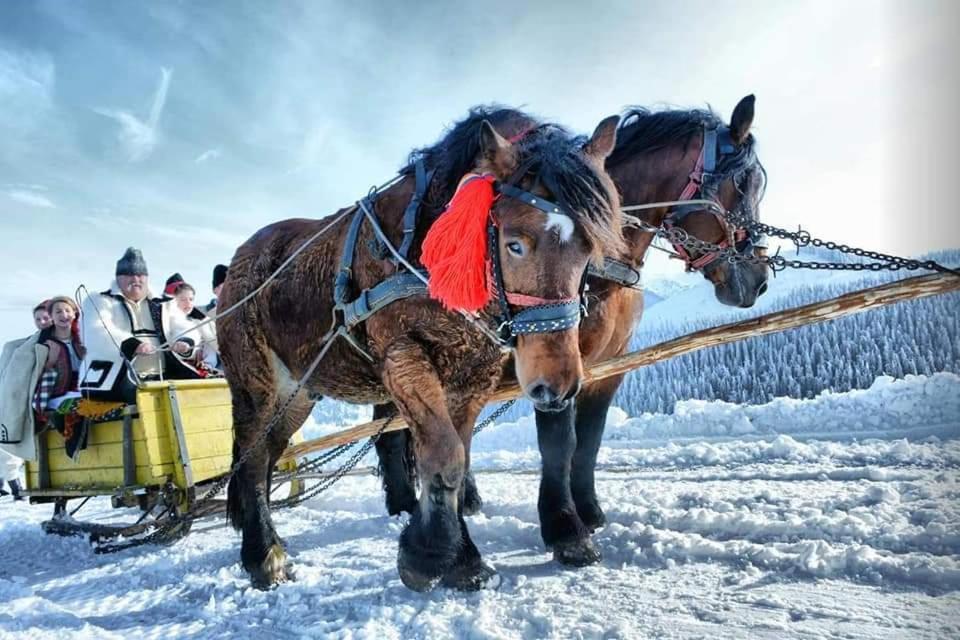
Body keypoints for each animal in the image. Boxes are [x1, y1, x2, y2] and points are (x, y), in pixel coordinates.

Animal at [217, 106, 624, 592]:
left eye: (589, 249)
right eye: (515, 243)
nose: (558, 385)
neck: (430, 248)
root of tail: (238, 262)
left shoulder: (472, 376)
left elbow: (455, 460)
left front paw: (460, 558)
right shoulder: (404, 358)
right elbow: (445, 456)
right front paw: (430, 557)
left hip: (296, 393)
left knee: (268, 453)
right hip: (256, 383)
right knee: (253, 456)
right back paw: (264, 555)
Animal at [376, 95, 772, 564]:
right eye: (741, 184)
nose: (758, 279)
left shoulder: (608, 368)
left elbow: (589, 441)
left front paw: (590, 511)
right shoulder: (558, 357)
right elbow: (559, 443)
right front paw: (565, 528)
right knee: (392, 434)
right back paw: (403, 506)